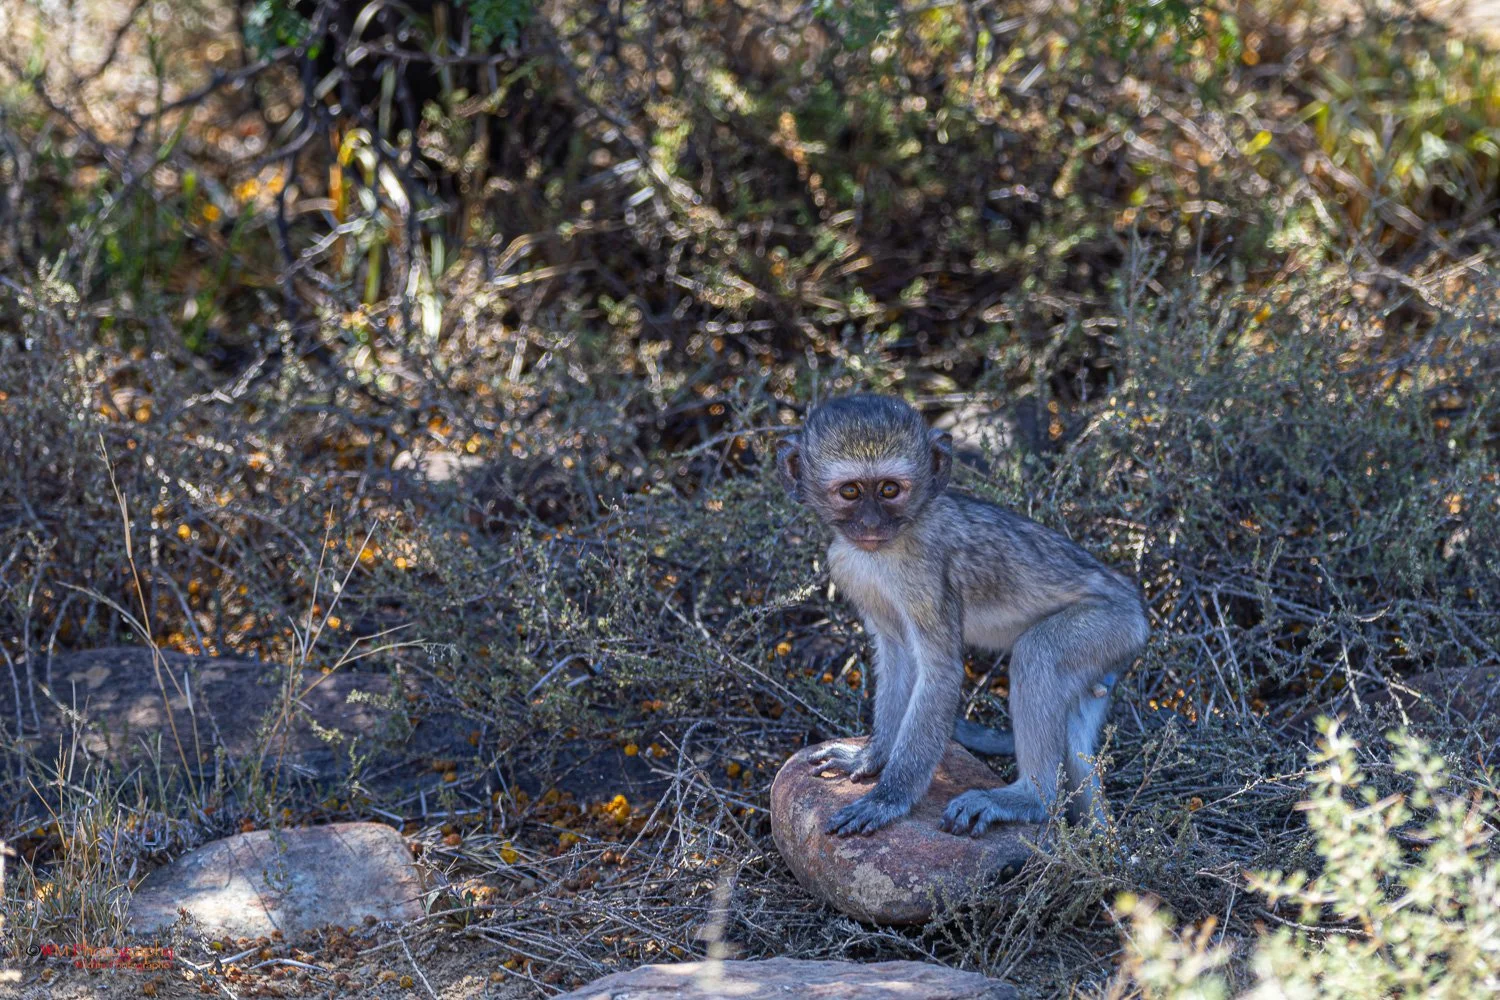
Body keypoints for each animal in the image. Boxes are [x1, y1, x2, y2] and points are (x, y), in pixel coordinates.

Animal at [776, 394, 1148, 837]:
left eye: (889, 489)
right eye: (850, 491)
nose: (870, 523)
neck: (887, 547)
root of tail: (1135, 606)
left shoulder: (923, 573)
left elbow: (941, 672)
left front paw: (888, 799)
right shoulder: (847, 566)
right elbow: (897, 654)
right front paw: (871, 757)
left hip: (1112, 624)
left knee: (1038, 654)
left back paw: (1030, 799)